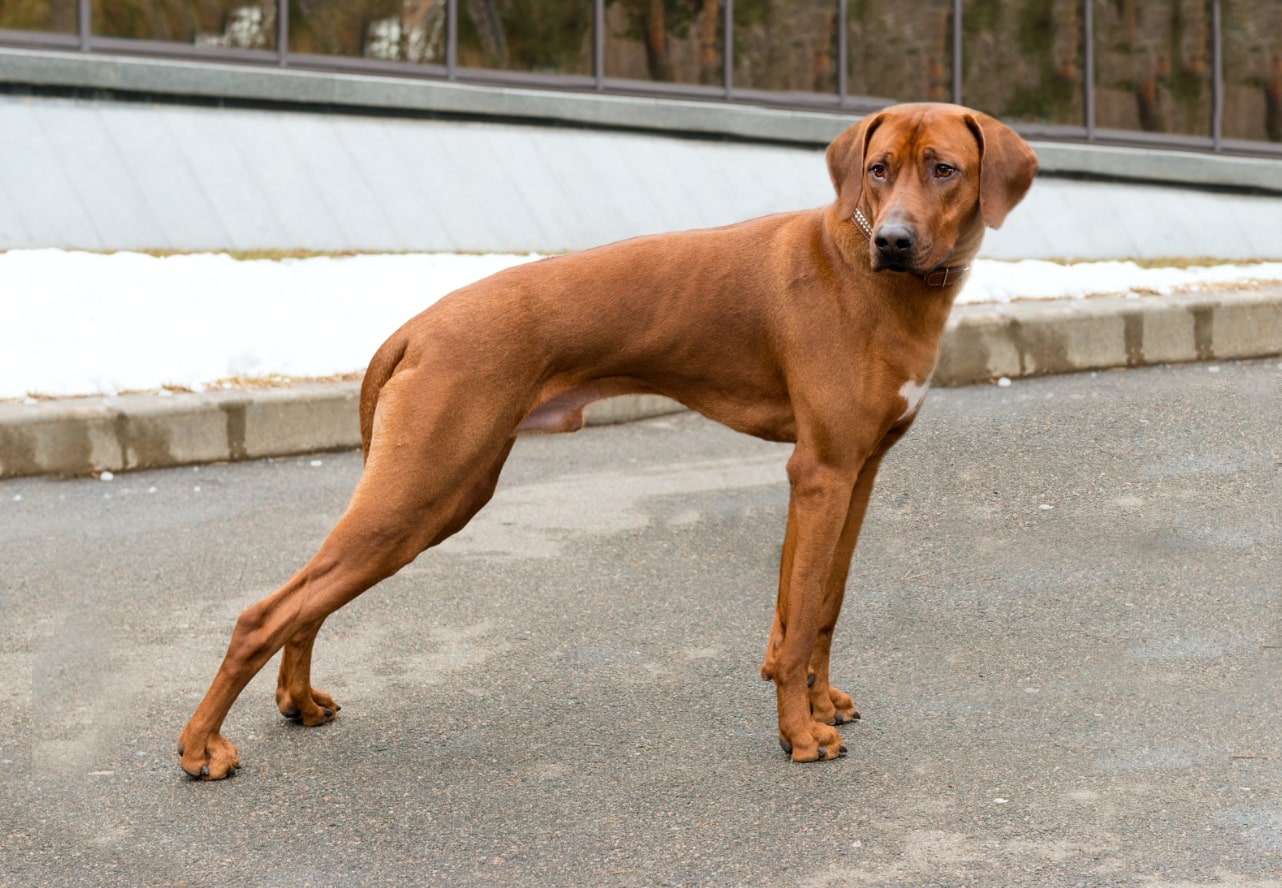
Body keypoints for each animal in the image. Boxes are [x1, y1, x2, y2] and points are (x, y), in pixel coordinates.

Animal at [175, 101, 1035, 773]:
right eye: (879, 169)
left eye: (944, 169)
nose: (893, 240)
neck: (866, 273)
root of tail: (417, 326)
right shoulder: (819, 471)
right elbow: (798, 627)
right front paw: (799, 735)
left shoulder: (856, 472)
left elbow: (817, 607)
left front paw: (821, 705)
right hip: (425, 492)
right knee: (266, 611)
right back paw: (199, 747)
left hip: (434, 493)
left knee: (307, 601)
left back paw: (297, 701)